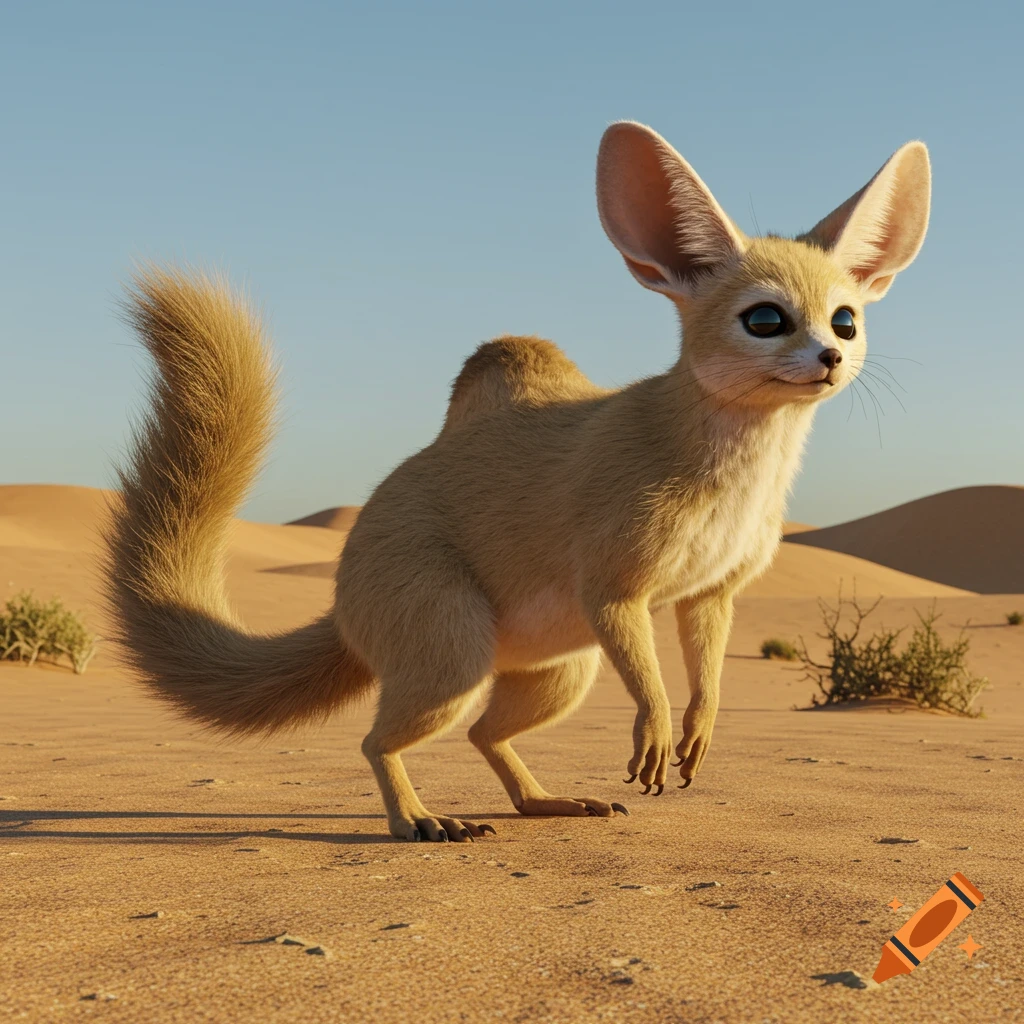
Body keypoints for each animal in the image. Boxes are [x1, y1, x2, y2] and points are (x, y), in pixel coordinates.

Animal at [103, 122, 931, 842]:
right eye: (765, 319)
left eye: (847, 320)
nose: (830, 359)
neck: (735, 472)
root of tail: (341, 600)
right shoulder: (614, 588)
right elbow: (652, 688)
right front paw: (657, 740)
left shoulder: (711, 593)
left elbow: (706, 676)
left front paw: (697, 735)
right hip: (457, 649)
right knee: (378, 741)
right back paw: (419, 821)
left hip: (558, 670)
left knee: (481, 733)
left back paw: (546, 801)